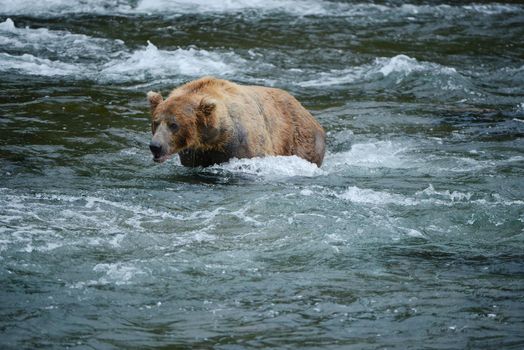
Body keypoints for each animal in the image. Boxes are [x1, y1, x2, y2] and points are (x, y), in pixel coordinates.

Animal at [147, 77, 326, 167]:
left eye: (174, 125)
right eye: (156, 122)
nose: (155, 146)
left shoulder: (243, 146)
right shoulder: (196, 154)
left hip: (300, 141)